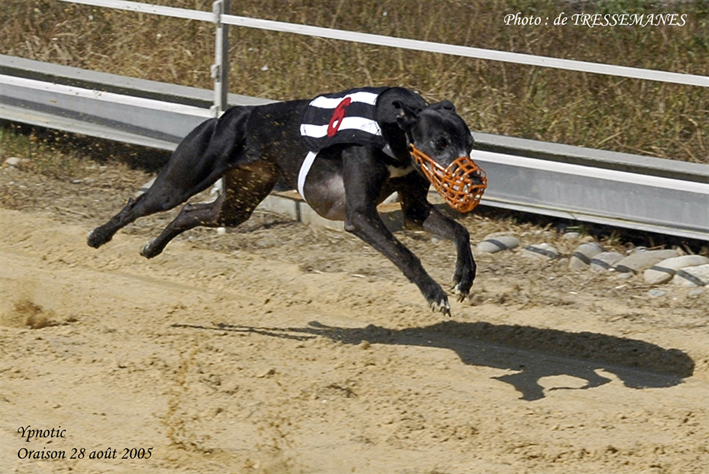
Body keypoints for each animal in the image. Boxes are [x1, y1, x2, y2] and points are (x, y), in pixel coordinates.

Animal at [87, 87, 486, 316]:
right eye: (440, 143)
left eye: (469, 143)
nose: (474, 181)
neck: (393, 133)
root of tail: (231, 114)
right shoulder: (360, 216)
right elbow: (406, 255)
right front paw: (434, 294)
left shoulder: (415, 208)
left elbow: (460, 231)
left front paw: (463, 278)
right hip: (180, 180)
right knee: (141, 203)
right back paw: (98, 236)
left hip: (236, 204)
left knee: (190, 212)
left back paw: (153, 247)